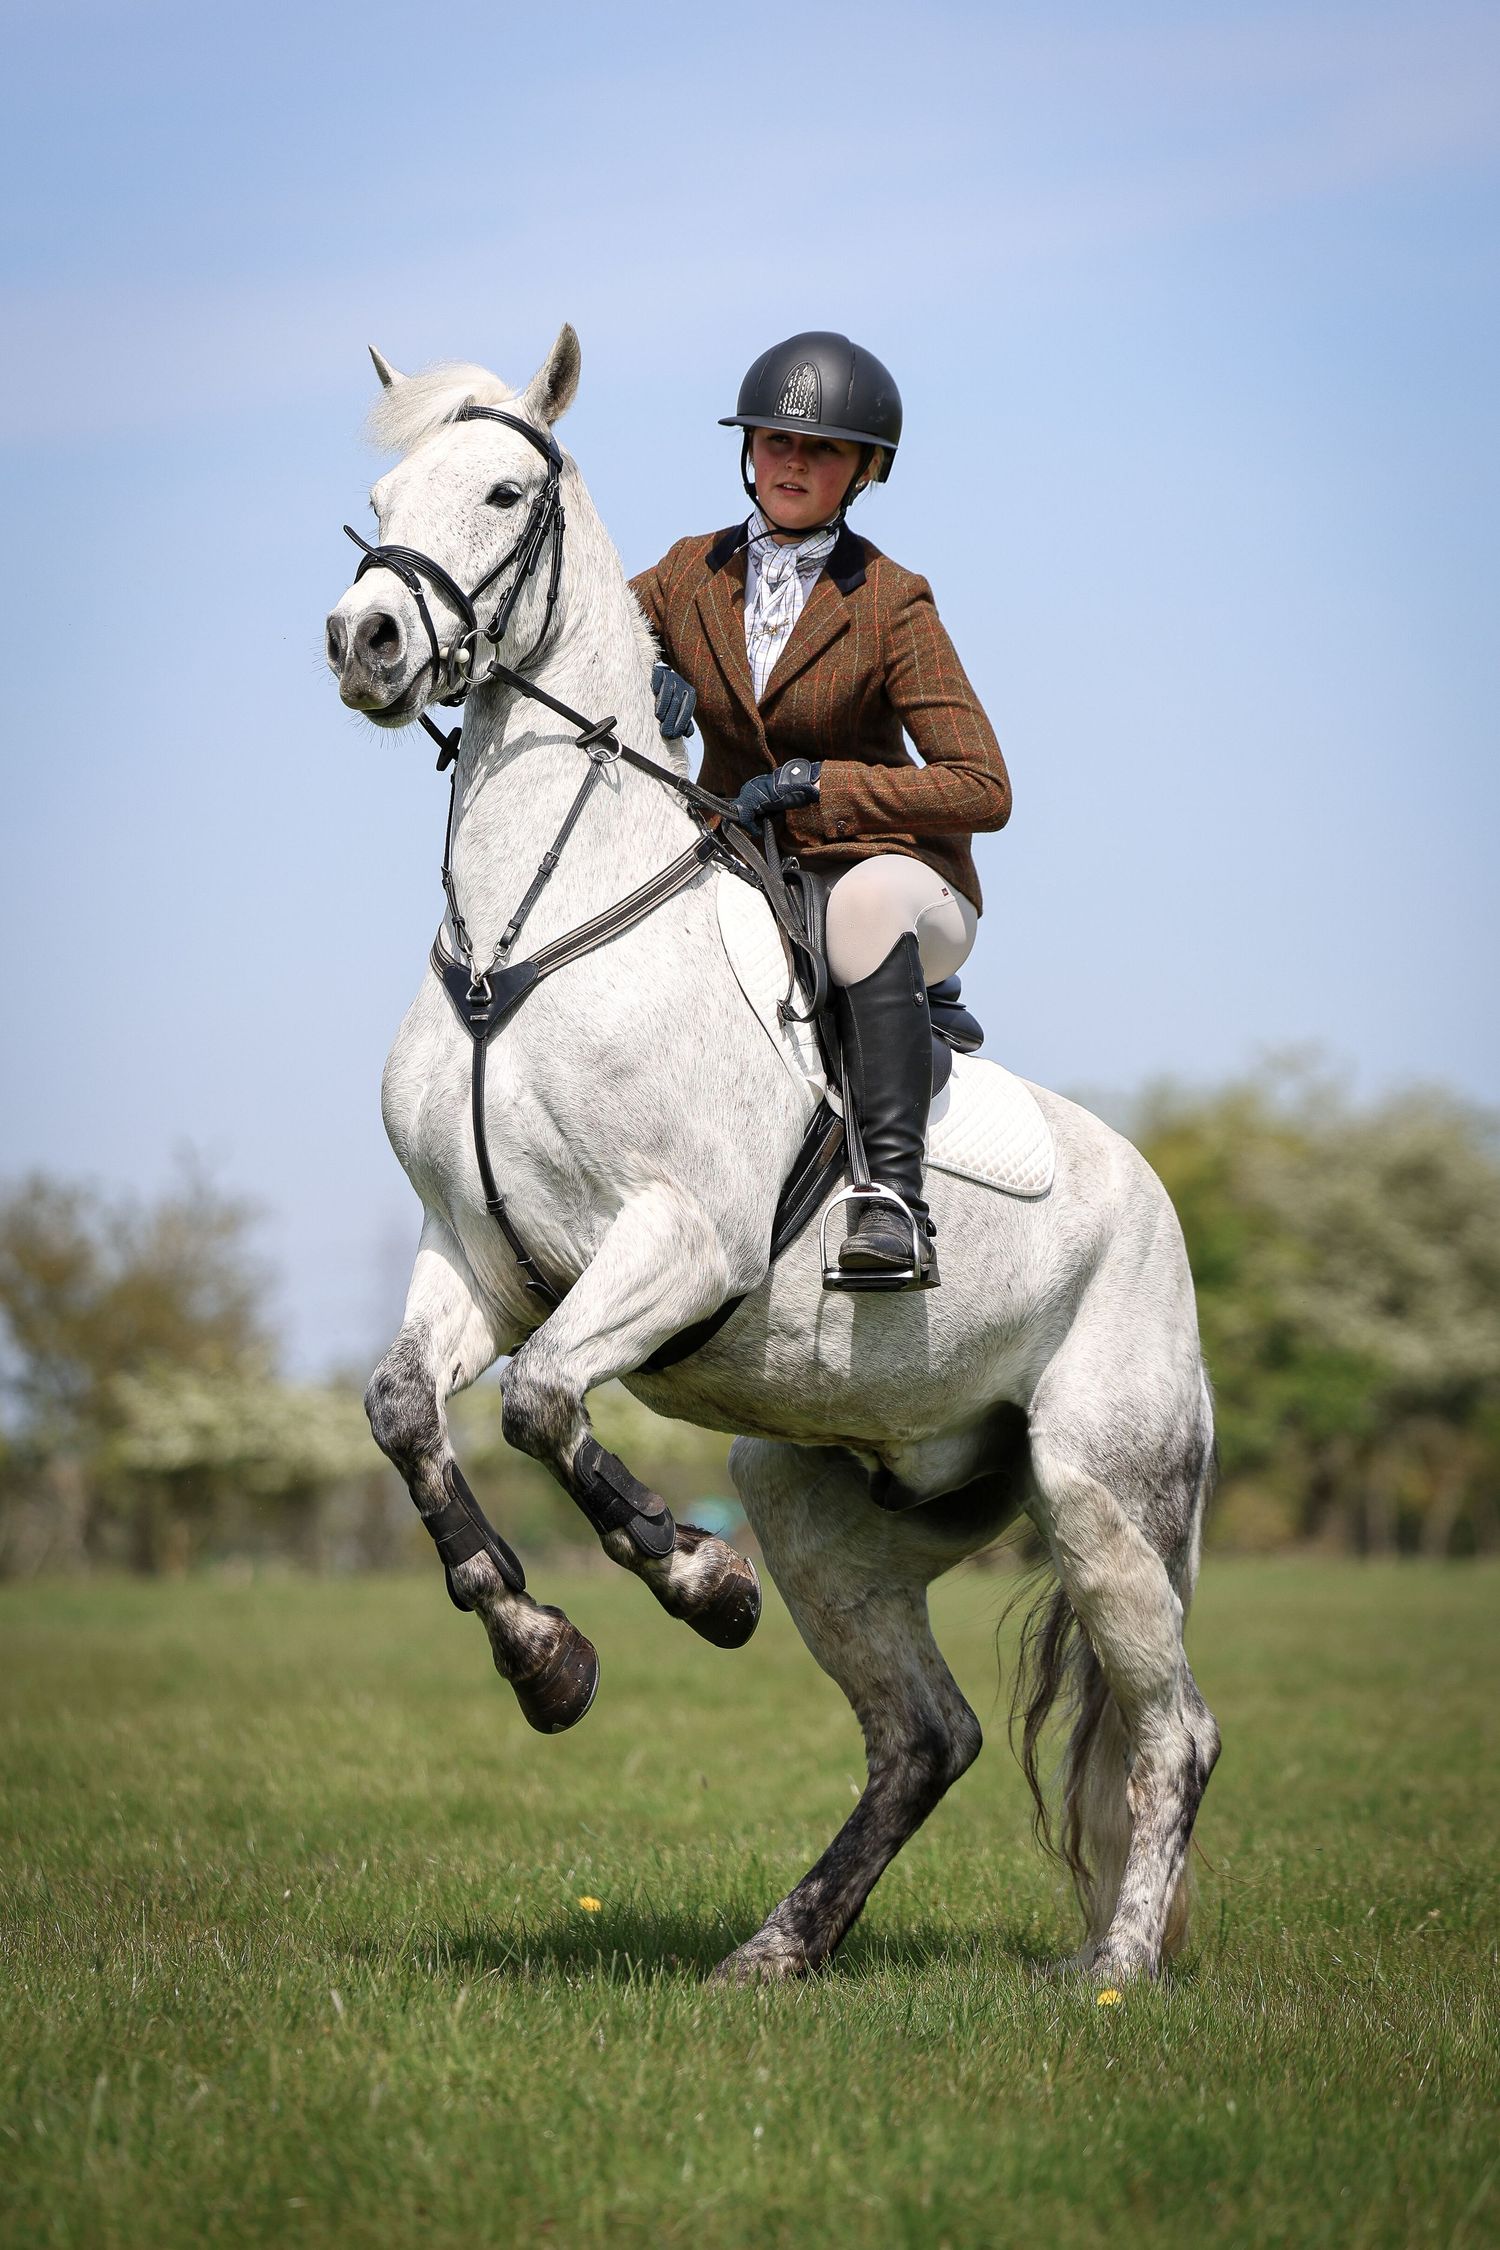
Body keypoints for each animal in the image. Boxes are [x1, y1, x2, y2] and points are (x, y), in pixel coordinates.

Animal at [324, 326, 1220, 1986]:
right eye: (383, 500)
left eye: (501, 492)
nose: (366, 640)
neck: (532, 931)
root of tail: (1152, 1196)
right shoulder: (472, 1255)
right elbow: (410, 1411)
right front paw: (543, 1657)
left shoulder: (679, 1240)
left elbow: (542, 1400)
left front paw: (697, 1586)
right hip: (823, 1492)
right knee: (927, 1735)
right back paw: (779, 1946)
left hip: (1101, 1492)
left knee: (1171, 1731)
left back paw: (1115, 1973)